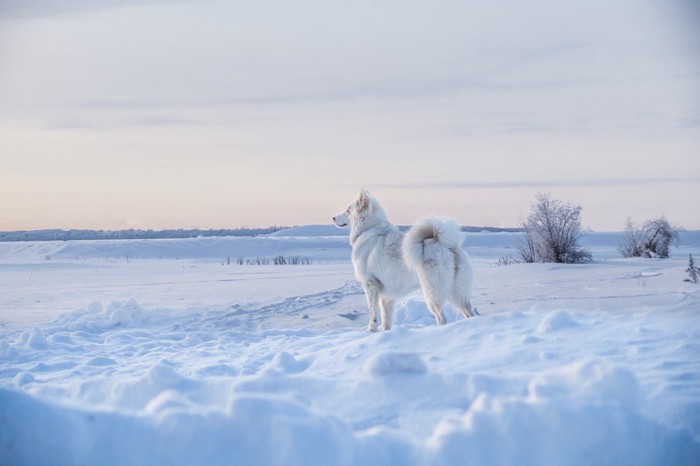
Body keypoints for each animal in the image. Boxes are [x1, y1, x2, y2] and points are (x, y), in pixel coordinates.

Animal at [334, 187, 476, 330]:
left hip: (432, 294)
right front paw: (385, 331)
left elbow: (373, 314)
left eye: (347, 210)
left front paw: (371, 331)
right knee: (468, 312)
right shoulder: (386, 295)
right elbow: (386, 318)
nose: (333, 217)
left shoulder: (370, 286)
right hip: (456, 293)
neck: (368, 229)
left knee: (442, 318)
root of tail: (447, 245)